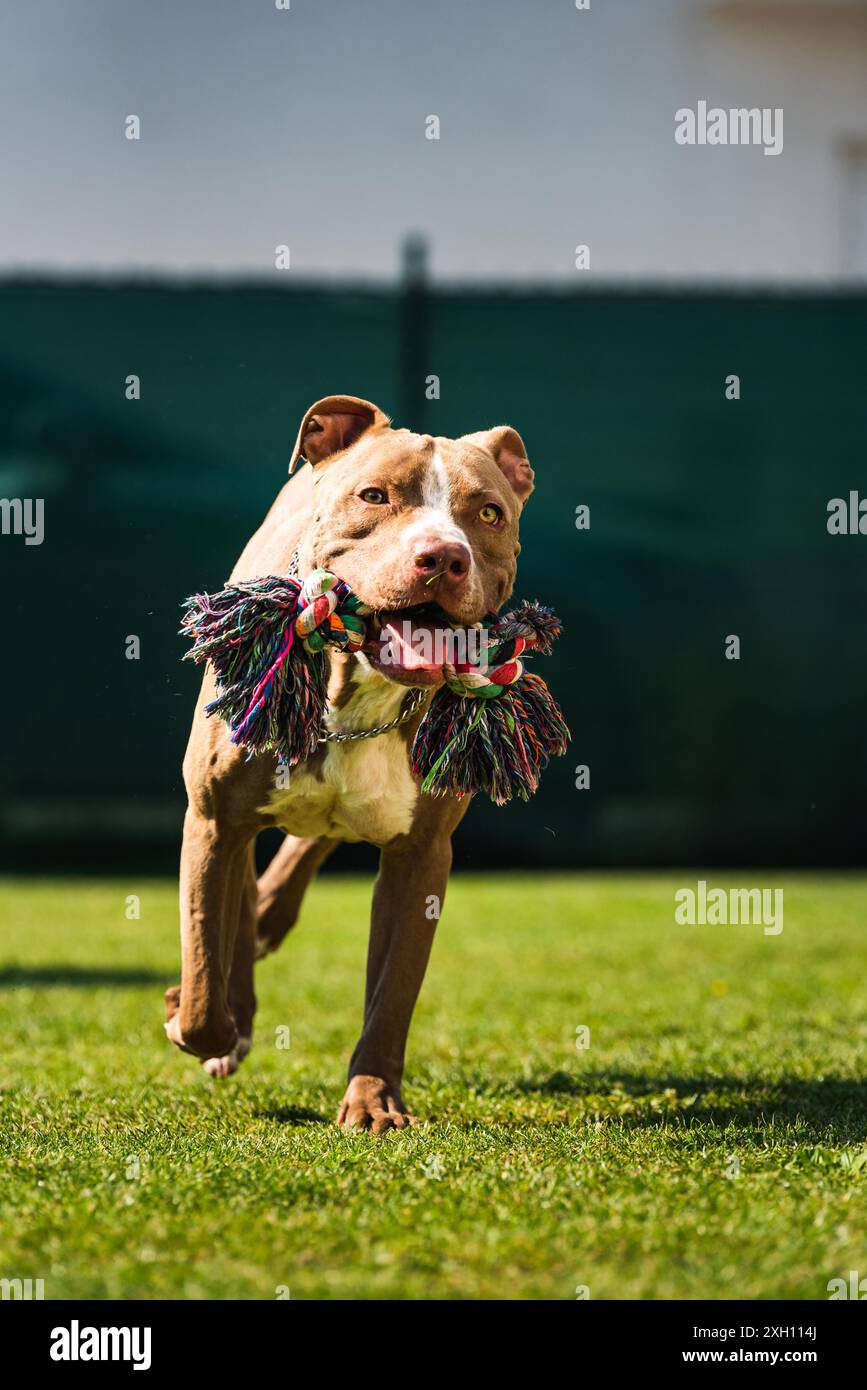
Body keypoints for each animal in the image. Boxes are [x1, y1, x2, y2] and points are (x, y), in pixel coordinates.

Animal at [161, 391, 527, 1128]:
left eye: (487, 513)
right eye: (375, 496)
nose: (442, 556)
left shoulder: (421, 855)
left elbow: (393, 993)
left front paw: (373, 1100)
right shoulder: (211, 817)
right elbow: (204, 974)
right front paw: (209, 1025)